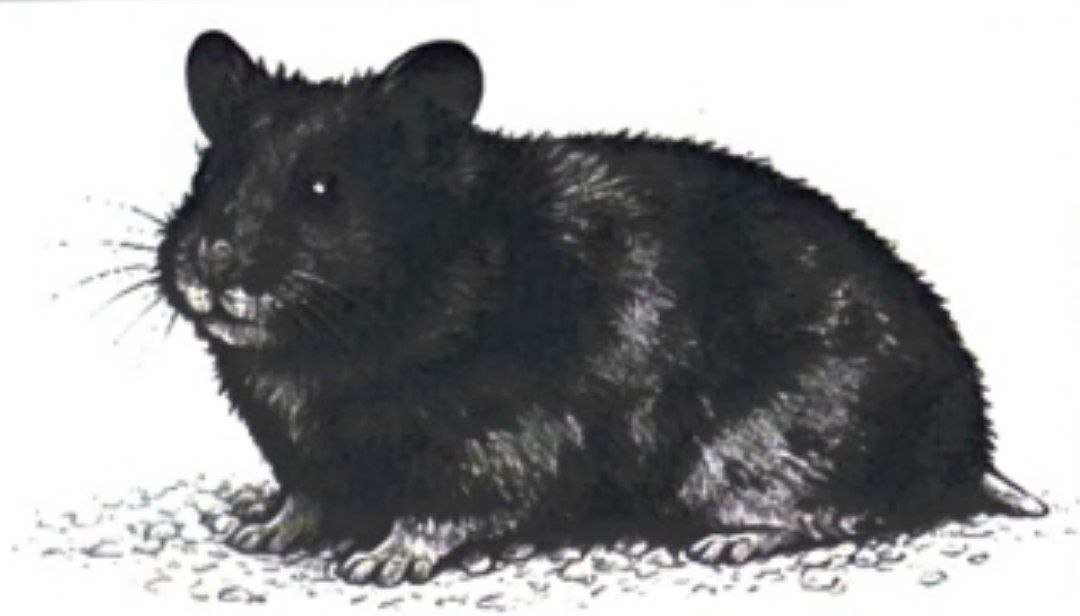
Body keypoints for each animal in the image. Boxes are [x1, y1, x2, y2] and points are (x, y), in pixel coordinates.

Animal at [157, 30, 1046, 586]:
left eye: (322, 189)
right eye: (207, 176)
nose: (209, 269)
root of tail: (969, 447)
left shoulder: (491, 445)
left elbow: (439, 516)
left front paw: (378, 563)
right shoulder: (303, 456)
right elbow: (302, 502)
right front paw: (253, 529)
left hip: (745, 457)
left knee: (852, 512)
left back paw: (728, 544)